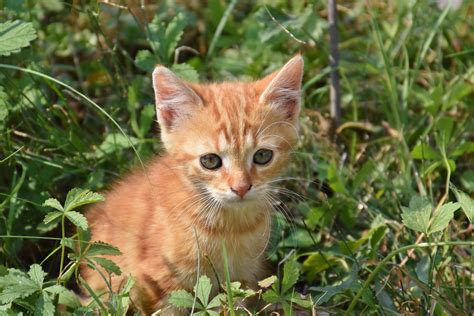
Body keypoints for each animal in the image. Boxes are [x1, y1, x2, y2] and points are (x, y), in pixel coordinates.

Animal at [81, 55, 304, 314]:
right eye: (210, 161)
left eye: (262, 156)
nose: (240, 188)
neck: (229, 228)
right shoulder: (159, 282)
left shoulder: (243, 278)